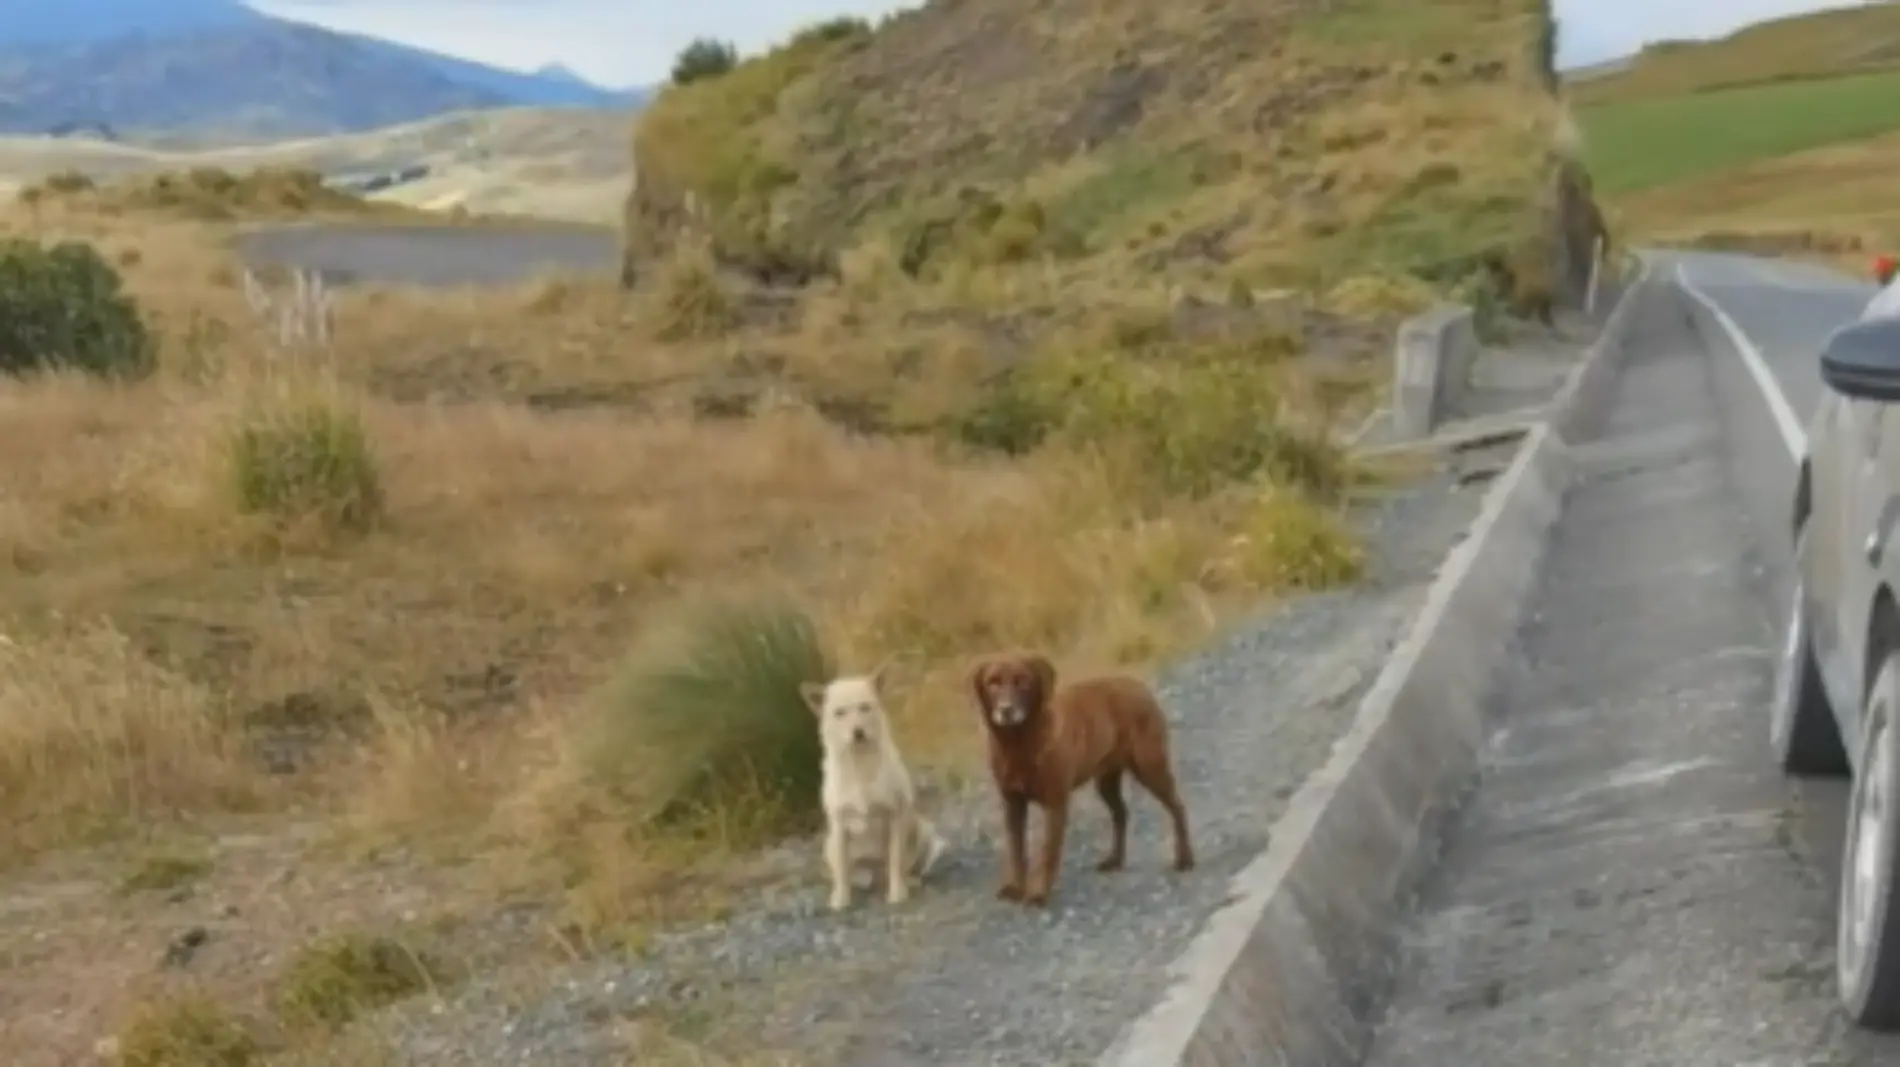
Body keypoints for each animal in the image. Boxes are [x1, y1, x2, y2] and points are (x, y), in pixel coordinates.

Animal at [801, 664, 950, 903]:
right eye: (839, 713)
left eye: (865, 707)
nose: (858, 732)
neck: (860, 764)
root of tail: (876, 877)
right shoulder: (840, 825)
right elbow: (842, 871)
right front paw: (841, 899)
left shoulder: (895, 817)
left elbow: (896, 860)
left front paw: (898, 893)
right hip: (830, 844)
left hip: (923, 830)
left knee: (907, 866)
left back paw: (910, 881)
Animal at [972, 649, 1193, 903]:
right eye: (993, 682)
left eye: (1023, 681)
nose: (1006, 710)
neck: (1017, 744)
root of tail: (1139, 686)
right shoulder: (1013, 803)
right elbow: (1016, 849)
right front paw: (1015, 887)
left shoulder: (1056, 802)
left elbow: (1048, 849)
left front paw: (1038, 892)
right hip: (1106, 780)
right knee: (1121, 813)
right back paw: (1114, 860)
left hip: (1150, 767)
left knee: (1177, 807)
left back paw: (1185, 859)